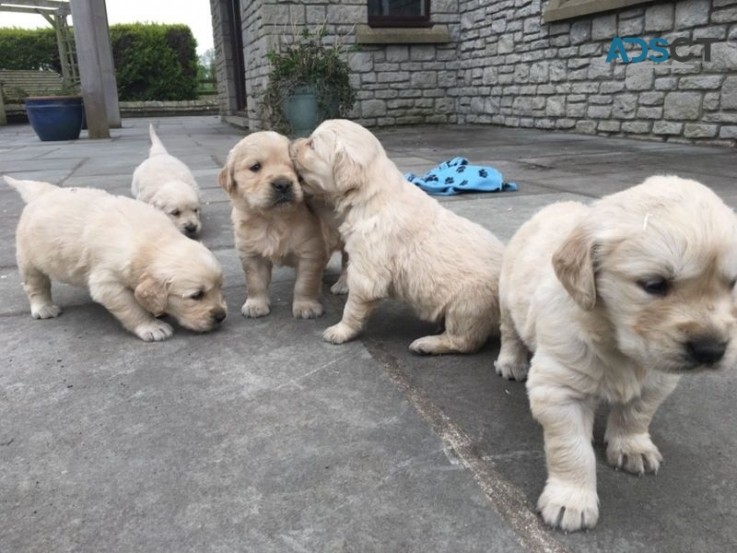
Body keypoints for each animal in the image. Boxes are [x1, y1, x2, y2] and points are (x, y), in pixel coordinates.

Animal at [4, 177, 226, 340]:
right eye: (196, 295)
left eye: (219, 288)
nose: (221, 316)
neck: (152, 240)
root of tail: (43, 192)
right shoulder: (107, 283)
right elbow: (131, 307)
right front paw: (151, 326)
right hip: (28, 259)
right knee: (36, 286)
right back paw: (43, 308)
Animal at [218, 130, 344, 320]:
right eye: (255, 167)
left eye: (294, 168)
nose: (283, 184)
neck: (273, 220)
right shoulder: (251, 254)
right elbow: (255, 282)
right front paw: (255, 305)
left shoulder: (309, 252)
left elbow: (305, 283)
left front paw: (306, 306)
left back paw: (343, 284)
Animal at [290, 120, 504, 354]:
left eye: (312, 145)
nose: (292, 143)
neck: (370, 192)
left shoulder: (367, 269)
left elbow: (353, 306)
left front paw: (340, 331)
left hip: (468, 305)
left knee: (465, 340)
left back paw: (427, 344)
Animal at [492, 176, 736, 532]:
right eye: (654, 284)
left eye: (732, 284)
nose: (711, 349)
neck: (617, 341)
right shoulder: (559, 389)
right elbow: (572, 449)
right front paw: (571, 500)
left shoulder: (659, 380)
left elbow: (637, 413)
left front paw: (632, 446)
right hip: (507, 298)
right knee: (509, 331)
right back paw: (511, 361)